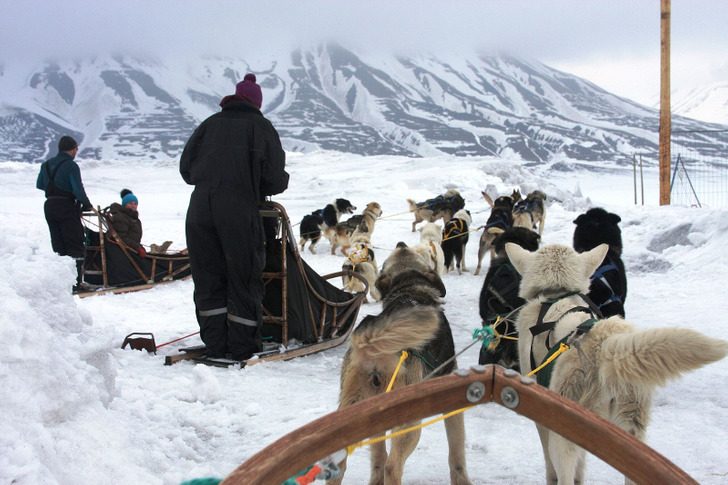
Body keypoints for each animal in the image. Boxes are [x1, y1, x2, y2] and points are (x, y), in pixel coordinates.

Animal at [330, 242, 472, 484]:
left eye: (386, 262)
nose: (401, 243)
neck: (409, 289)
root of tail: (371, 345)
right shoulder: (453, 405)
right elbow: (457, 456)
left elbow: (377, 457)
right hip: (409, 423)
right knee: (392, 466)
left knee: (351, 463)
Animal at [506, 244, 728, 484]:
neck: (558, 294)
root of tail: (605, 343)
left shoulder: (541, 409)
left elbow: (552, 465)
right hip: (630, 434)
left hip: (565, 431)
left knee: (564, 470)